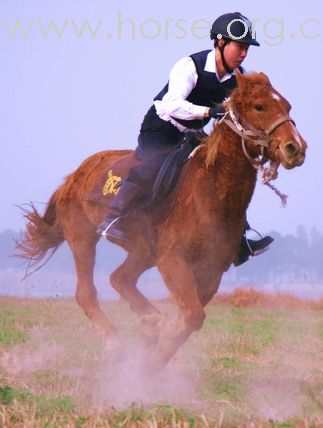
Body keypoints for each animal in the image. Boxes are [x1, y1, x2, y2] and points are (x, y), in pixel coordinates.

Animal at [17, 72, 308, 370]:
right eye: (259, 106)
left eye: (287, 106)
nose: (295, 148)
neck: (209, 191)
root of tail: (74, 176)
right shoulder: (172, 260)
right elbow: (191, 316)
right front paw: (149, 365)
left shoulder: (211, 270)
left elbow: (188, 318)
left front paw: (150, 359)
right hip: (82, 238)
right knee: (87, 294)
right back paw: (118, 342)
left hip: (143, 251)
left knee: (120, 279)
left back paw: (149, 325)